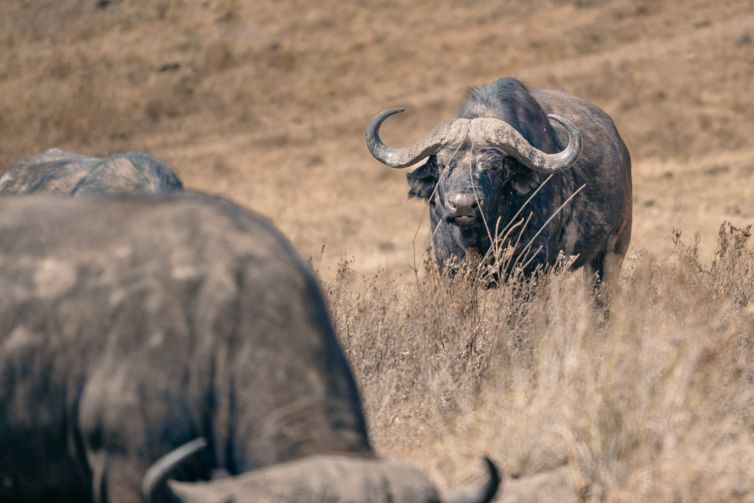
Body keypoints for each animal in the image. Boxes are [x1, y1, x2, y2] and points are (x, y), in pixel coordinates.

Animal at [366, 77, 632, 283]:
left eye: (494, 166)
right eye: (442, 164)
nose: (463, 205)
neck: (481, 234)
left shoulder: (530, 271)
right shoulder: (451, 269)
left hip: (612, 251)